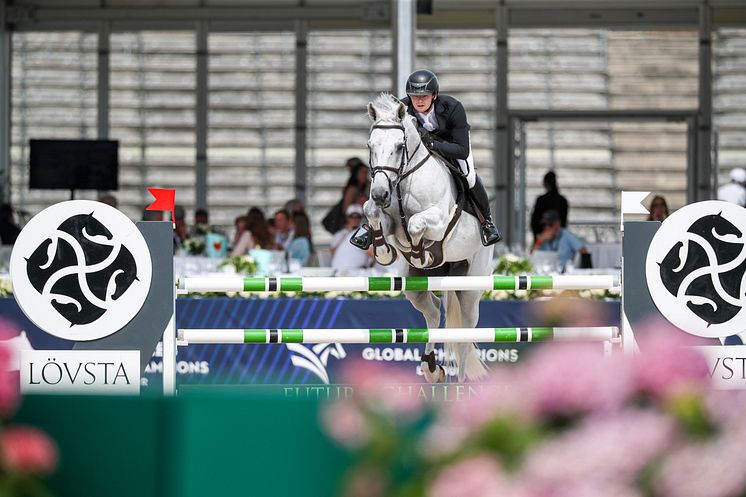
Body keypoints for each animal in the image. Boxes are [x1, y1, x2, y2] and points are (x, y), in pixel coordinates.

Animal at [364, 92, 492, 380]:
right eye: (370, 146)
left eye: (399, 146)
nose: (380, 193)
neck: (403, 179)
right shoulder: (388, 221)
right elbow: (371, 212)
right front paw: (383, 251)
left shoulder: (439, 221)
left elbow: (415, 224)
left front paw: (421, 253)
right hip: (415, 286)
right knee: (433, 311)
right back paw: (431, 367)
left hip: (471, 286)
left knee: (465, 334)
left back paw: (458, 381)